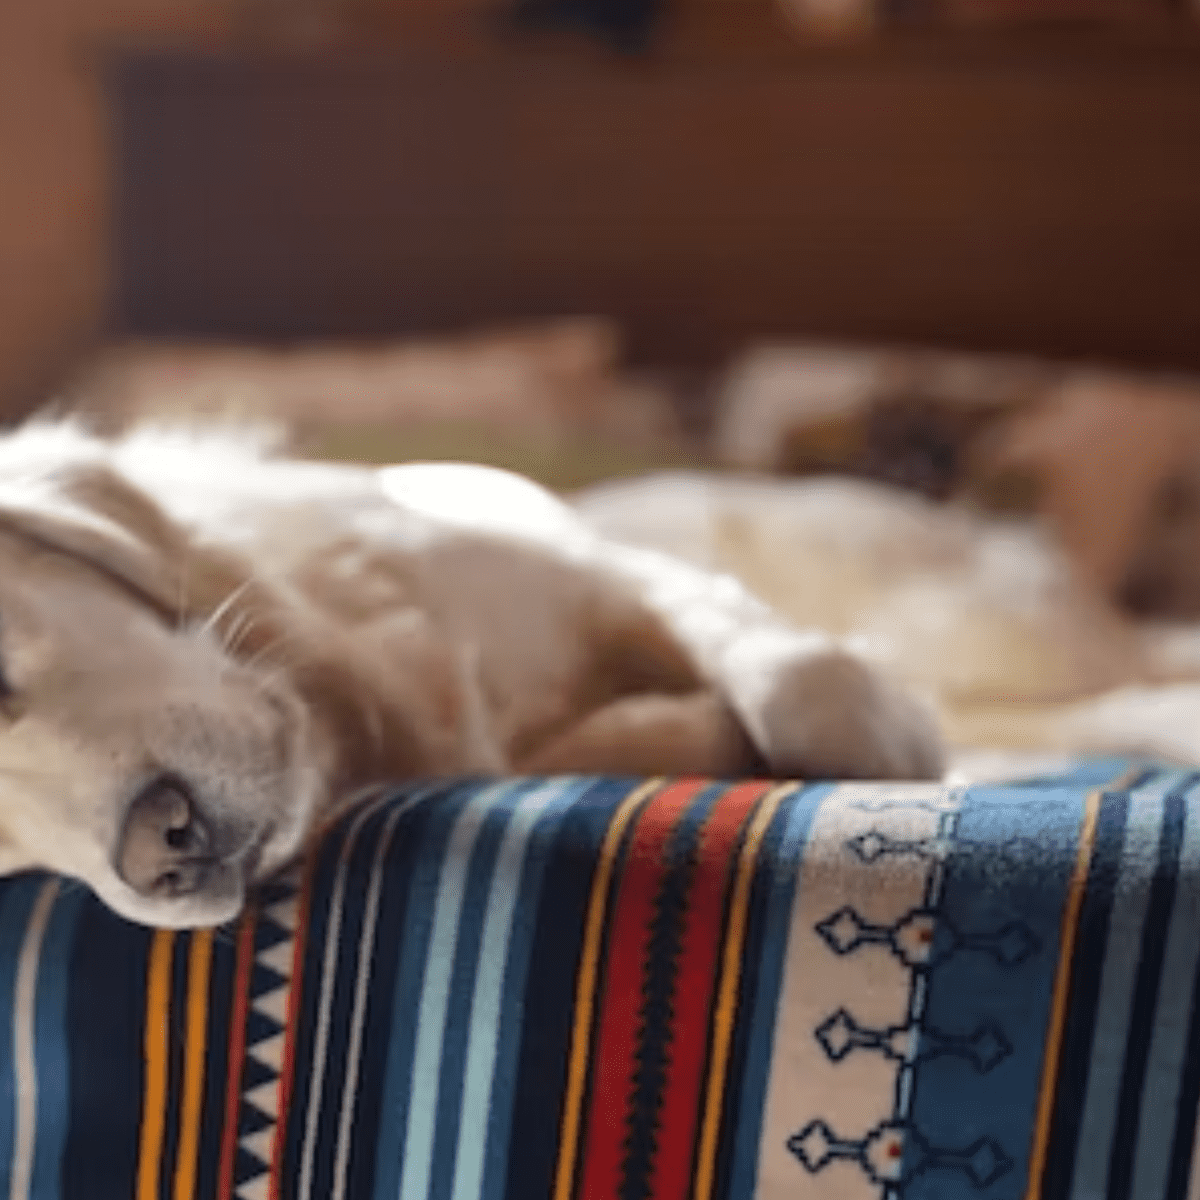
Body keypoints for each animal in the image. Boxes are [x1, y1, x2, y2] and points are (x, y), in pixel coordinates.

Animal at [0, 422, 940, 926]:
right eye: (8, 857)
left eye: (2, 678)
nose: (161, 859)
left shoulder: (594, 572)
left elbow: (797, 683)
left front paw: (903, 744)